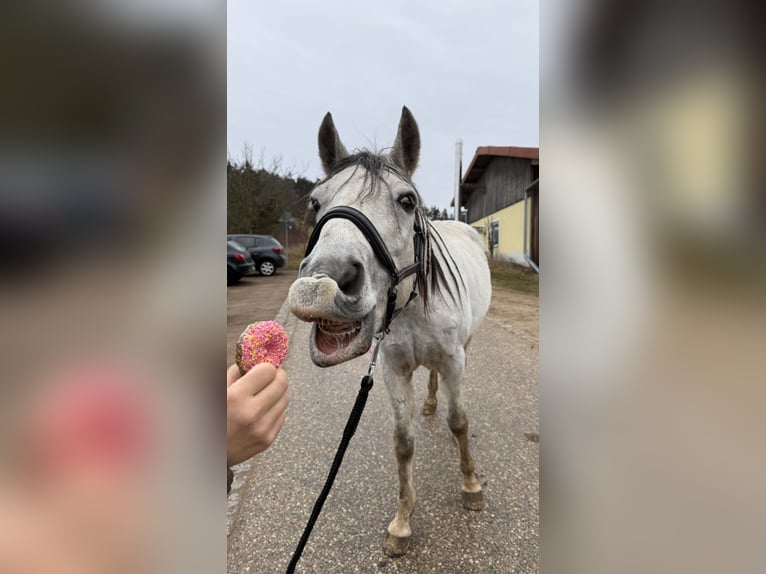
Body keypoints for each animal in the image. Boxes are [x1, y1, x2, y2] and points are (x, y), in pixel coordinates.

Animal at [288, 106, 492, 557]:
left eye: (407, 200)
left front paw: (471, 486)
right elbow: (403, 441)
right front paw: (402, 523)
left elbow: (459, 421)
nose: (320, 287)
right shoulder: (393, 369)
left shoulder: (455, 360)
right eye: (316, 201)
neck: (412, 307)